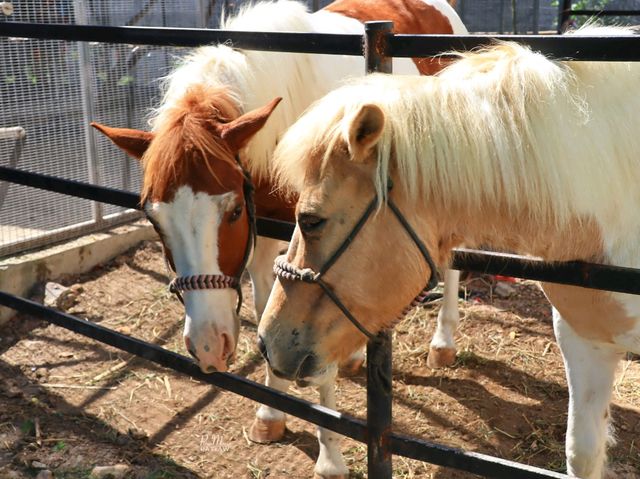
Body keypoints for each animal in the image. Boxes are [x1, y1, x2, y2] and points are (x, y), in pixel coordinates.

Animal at [92, 1, 468, 478]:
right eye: (154, 219)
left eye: (233, 210)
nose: (209, 346)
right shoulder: (268, 238)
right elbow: (268, 312)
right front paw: (271, 414)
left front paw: (330, 457)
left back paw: (443, 344)